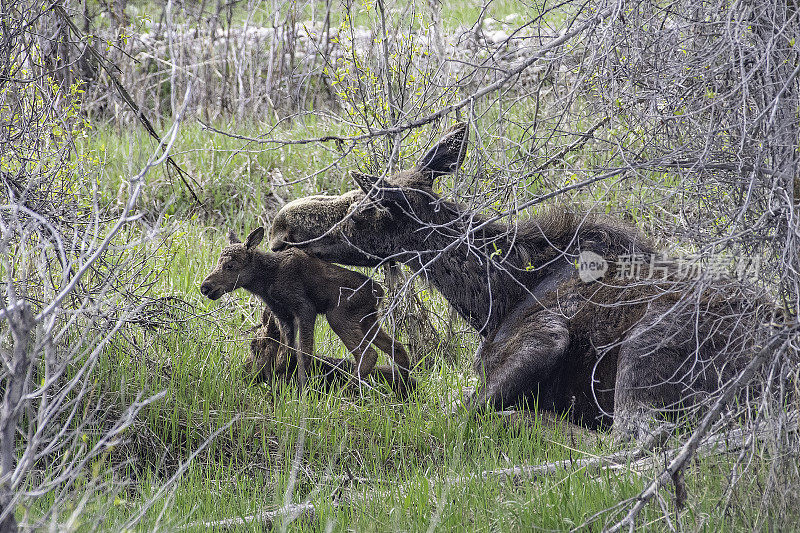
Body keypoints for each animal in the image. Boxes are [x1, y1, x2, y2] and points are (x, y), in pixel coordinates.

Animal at [202, 227, 412, 392]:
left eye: (230, 265)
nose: (205, 287)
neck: (265, 282)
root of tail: (380, 292)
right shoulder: (283, 315)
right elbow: (285, 353)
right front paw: (280, 382)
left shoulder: (305, 308)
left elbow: (304, 353)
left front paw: (302, 389)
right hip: (367, 319)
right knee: (398, 348)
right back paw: (402, 387)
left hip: (338, 316)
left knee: (368, 355)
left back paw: (345, 391)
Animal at [270, 121, 764, 440]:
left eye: (363, 211)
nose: (281, 230)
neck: (494, 302)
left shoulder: (544, 334)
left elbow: (460, 408)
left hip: (645, 348)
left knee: (635, 436)